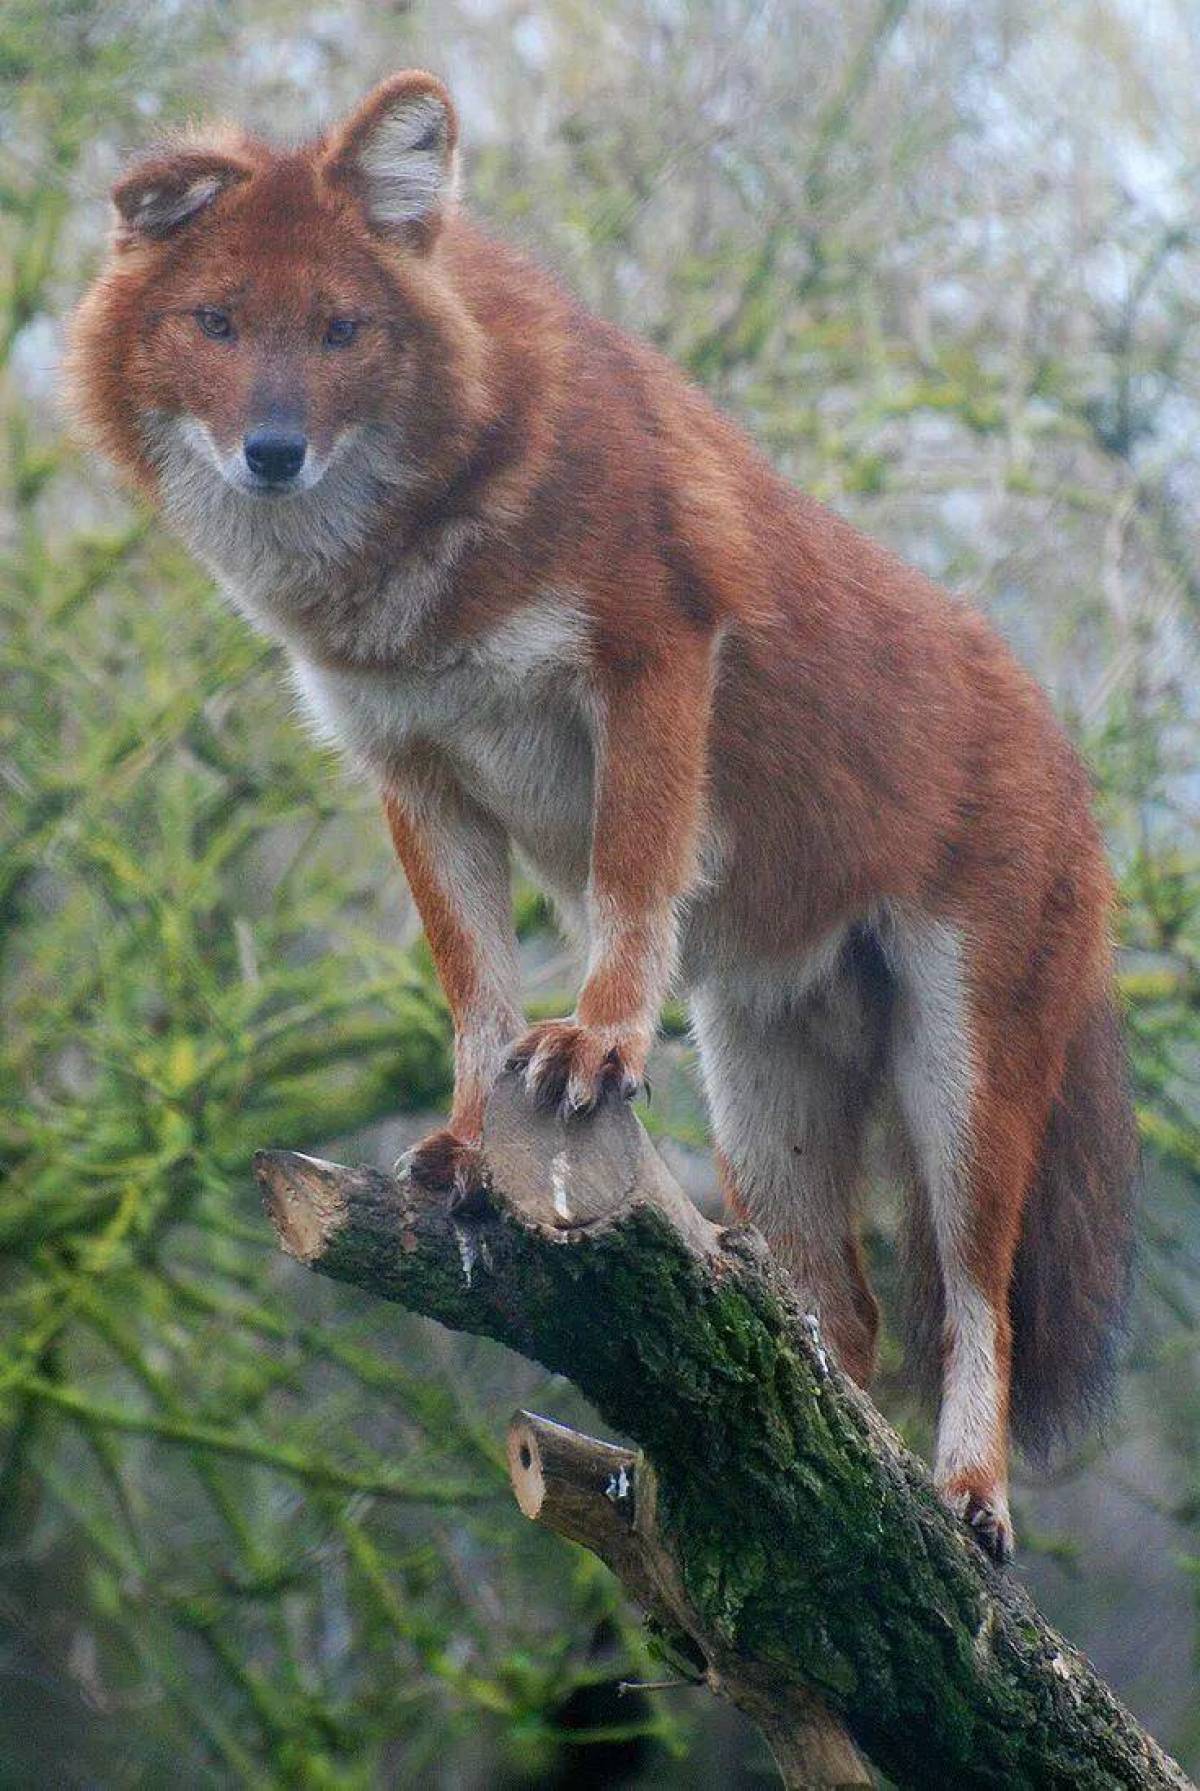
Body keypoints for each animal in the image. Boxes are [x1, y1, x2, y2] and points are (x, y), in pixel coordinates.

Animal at [70, 69, 1139, 1561]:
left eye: (341, 330)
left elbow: (630, 886)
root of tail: (1074, 764)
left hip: (964, 1075)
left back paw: (965, 1499)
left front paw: (593, 1045)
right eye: (216, 323)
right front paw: (470, 1149)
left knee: (974, 1295)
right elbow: (472, 986)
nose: (272, 453)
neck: (407, 566)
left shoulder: (654, 662)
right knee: (834, 1313)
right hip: (761, 1087)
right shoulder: (416, 770)